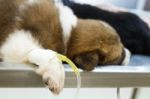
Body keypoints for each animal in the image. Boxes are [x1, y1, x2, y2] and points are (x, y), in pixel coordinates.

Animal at [0, 0, 130, 94]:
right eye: (119, 56)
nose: (129, 52)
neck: (69, 34)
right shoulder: (14, 41)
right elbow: (51, 55)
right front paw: (56, 75)